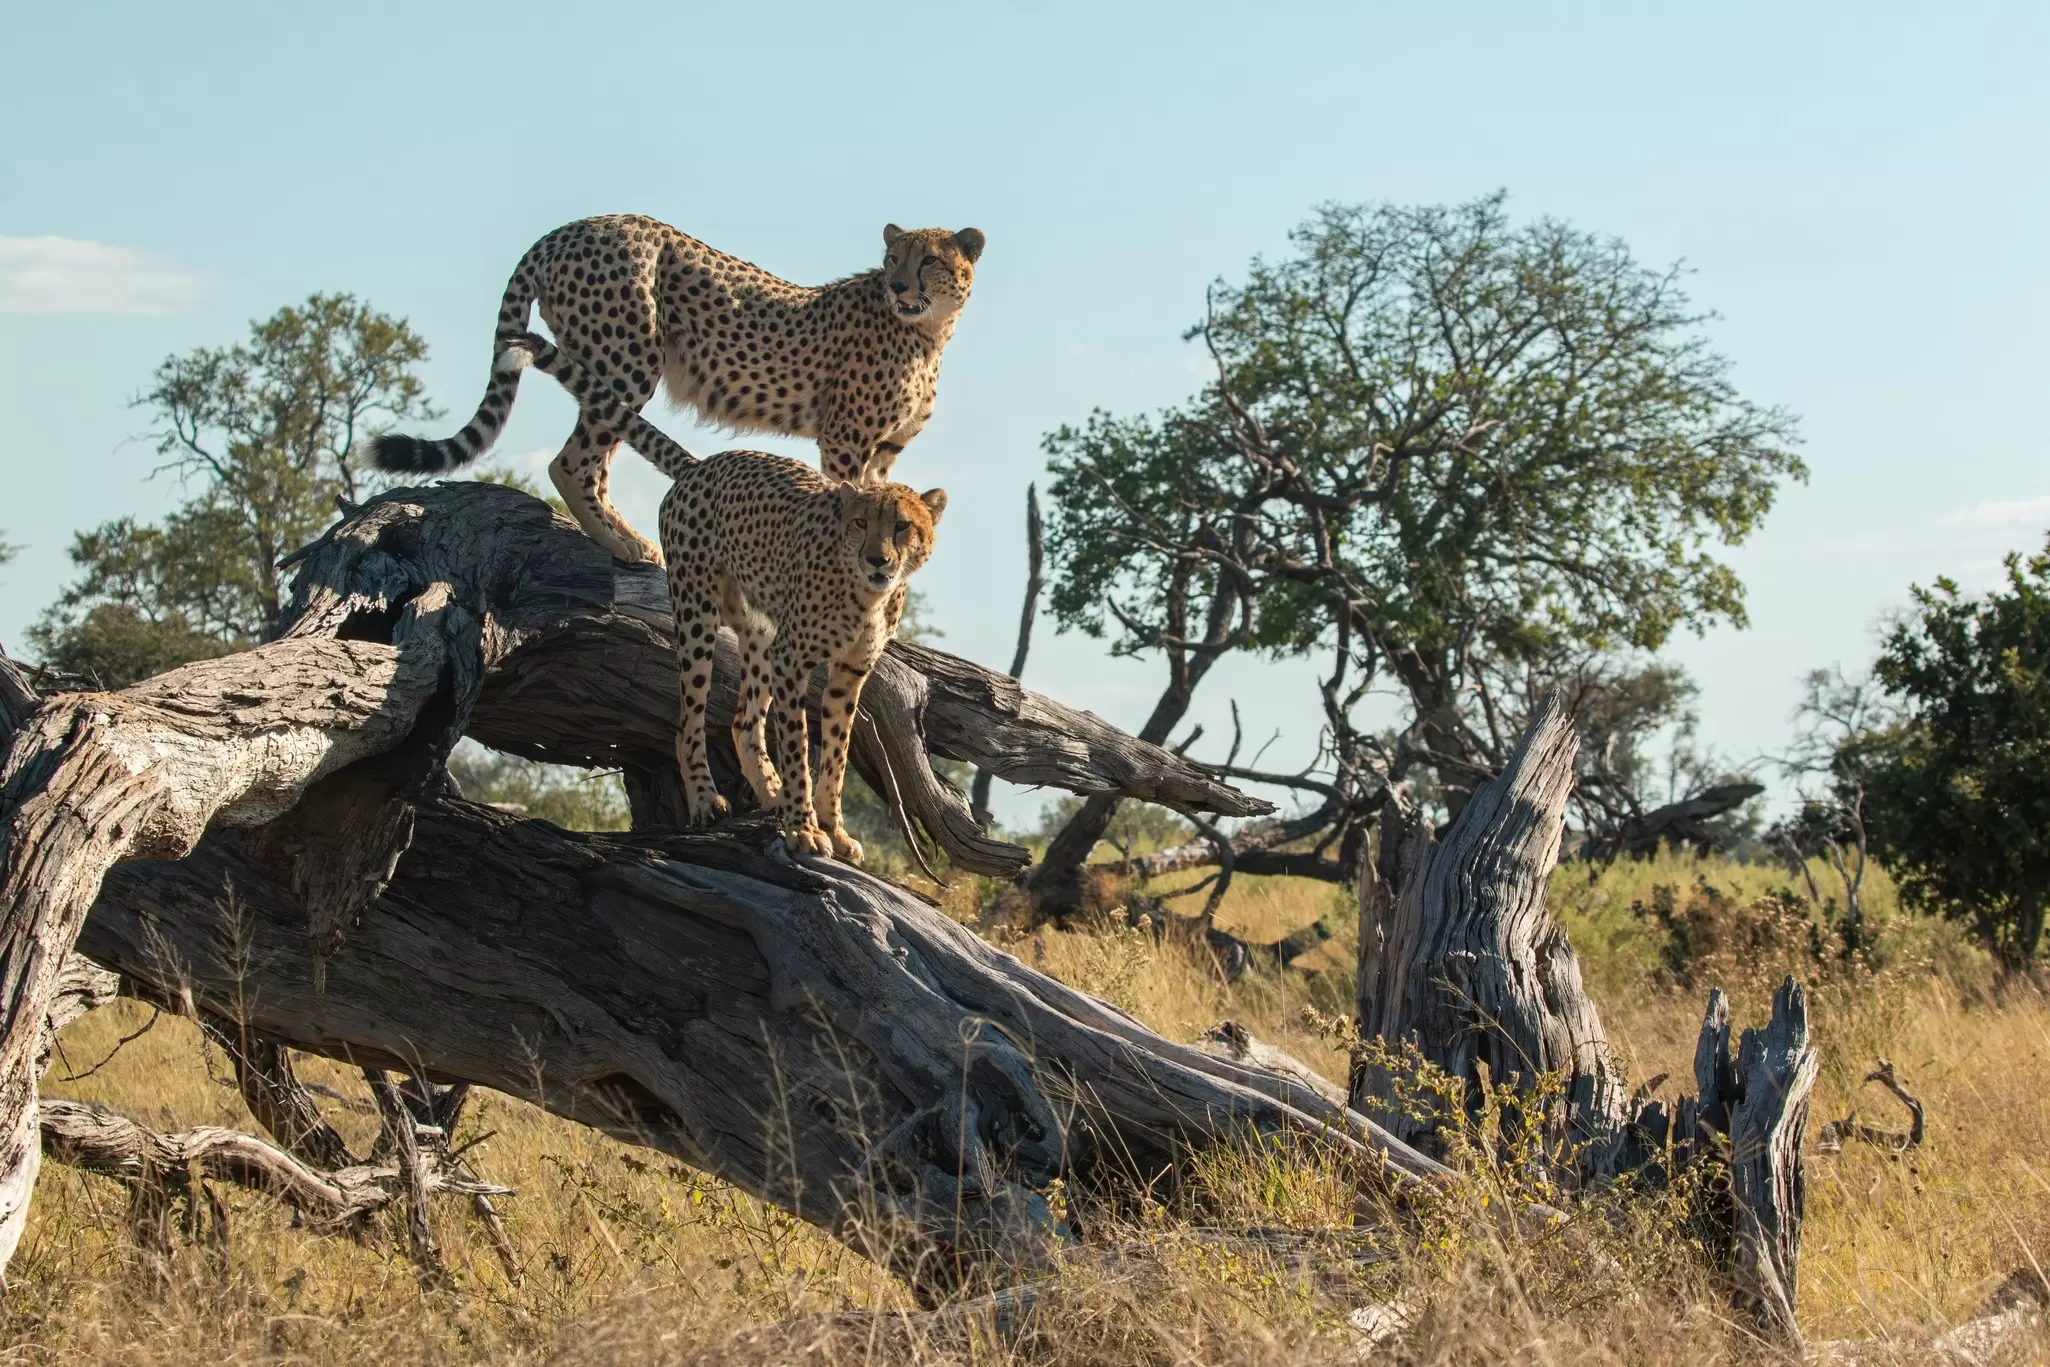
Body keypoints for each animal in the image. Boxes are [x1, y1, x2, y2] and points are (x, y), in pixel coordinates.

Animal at [368, 213, 982, 566]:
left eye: (928, 259)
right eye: (892, 259)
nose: (898, 285)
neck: (930, 331)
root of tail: (568, 228)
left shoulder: (884, 452)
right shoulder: (846, 439)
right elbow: (850, 508)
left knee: (595, 458)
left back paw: (622, 534)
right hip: (630, 359)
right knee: (572, 461)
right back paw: (621, 544)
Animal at [496, 333, 945, 863]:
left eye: (902, 527)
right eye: (860, 524)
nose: (877, 559)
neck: (867, 593)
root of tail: (704, 463)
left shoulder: (849, 670)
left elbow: (835, 753)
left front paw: (832, 828)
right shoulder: (793, 658)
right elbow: (800, 747)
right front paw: (803, 828)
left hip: (759, 633)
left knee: (743, 721)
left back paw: (768, 791)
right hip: (697, 614)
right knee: (688, 719)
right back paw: (707, 800)